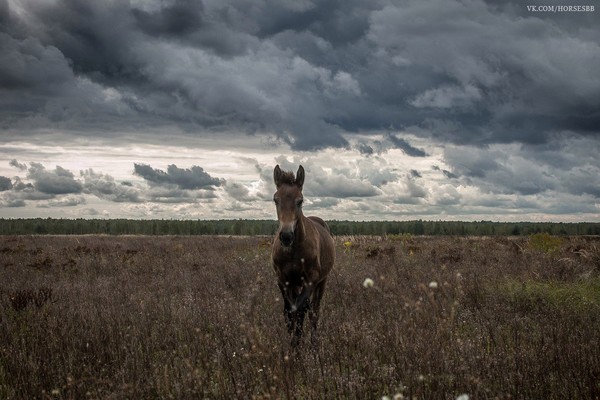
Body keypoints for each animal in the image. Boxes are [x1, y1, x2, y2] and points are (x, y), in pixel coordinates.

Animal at [270, 164, 336, 346]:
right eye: (276, 199)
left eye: (300, 201)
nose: (286, 236)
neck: (293, 252)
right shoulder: (282, 280)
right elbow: (288, 312)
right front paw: (292, 344)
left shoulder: (311, 280)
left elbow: (299, 310)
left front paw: (297, 344)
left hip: (322, 282)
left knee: (314, 312)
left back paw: (314, 344)